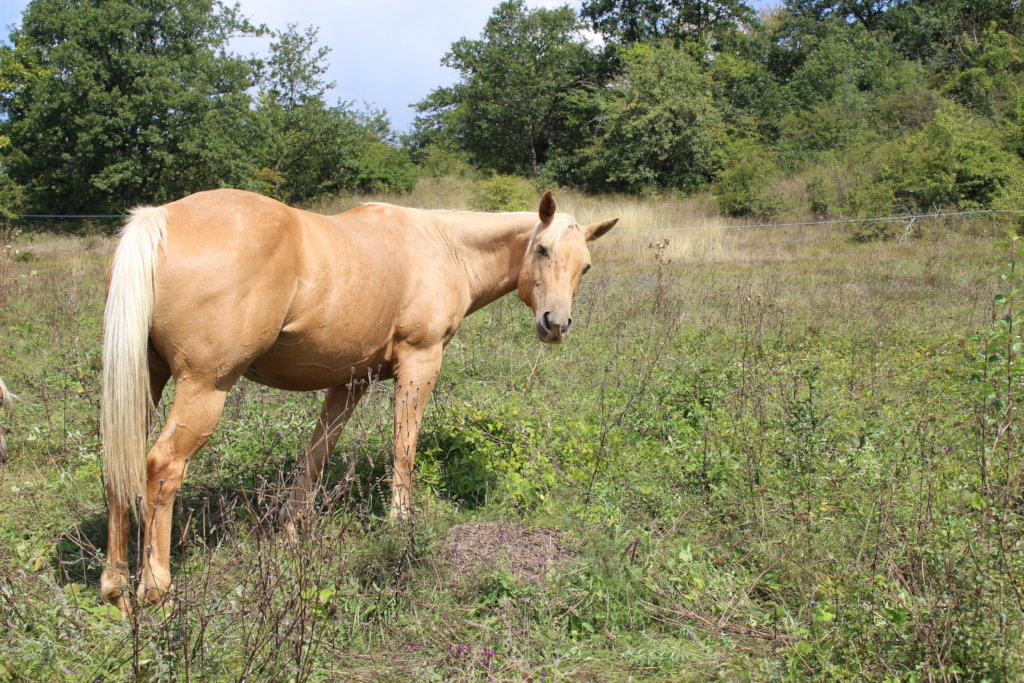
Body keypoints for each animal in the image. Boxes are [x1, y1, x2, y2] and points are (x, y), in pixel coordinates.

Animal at [99, 188, 614, 614]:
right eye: (542, 250)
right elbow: (403, 448)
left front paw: (290, 530)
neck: (443, 244)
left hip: (145, 383)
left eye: (586, 266)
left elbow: (315, 456)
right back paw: (156, 589)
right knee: (163, 466)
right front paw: (399, 524)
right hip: (205, 388)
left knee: (120, 465)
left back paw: (116, 587)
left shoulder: (349, 383)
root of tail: (160, 219)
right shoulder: (419, 364)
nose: (556, 324)